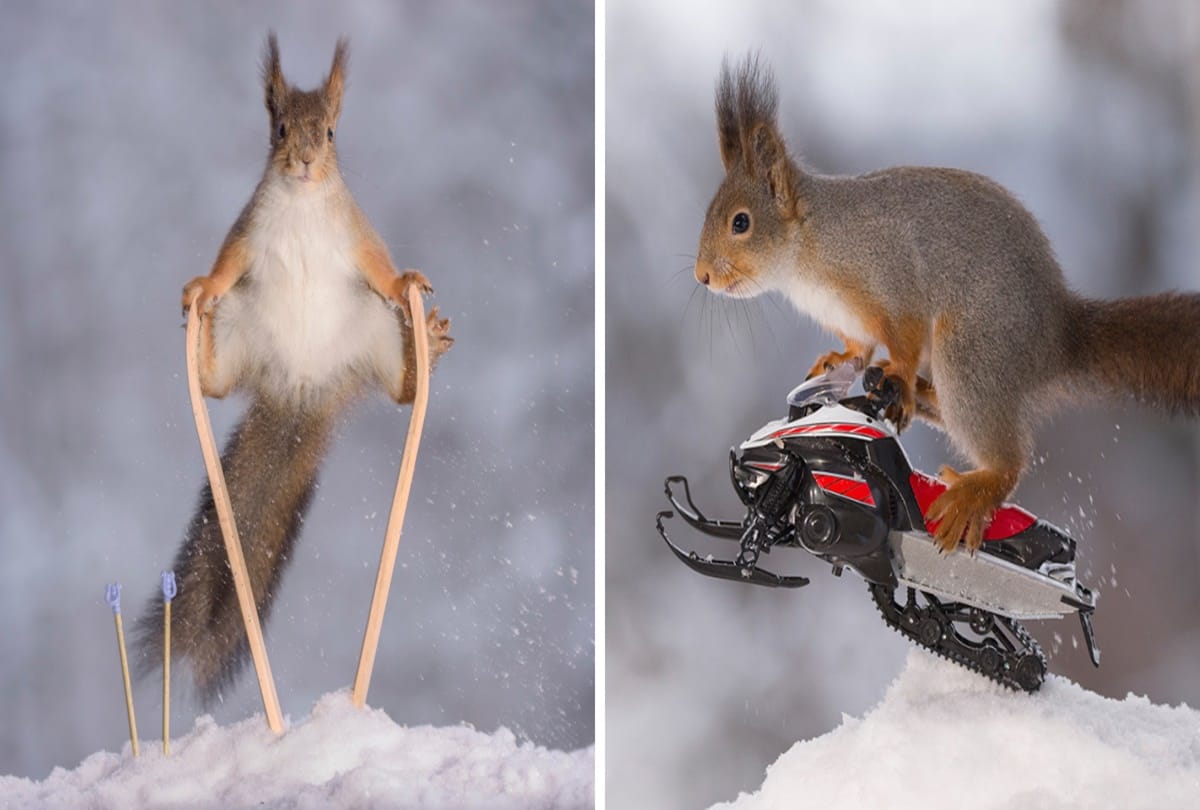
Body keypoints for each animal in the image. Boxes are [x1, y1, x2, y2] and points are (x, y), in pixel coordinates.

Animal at [135, 33, 453, 702]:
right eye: (280, 129)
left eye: (330, 133)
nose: (305, 162)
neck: (305, 203)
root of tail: (303, 390)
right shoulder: (246, 233)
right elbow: (224, 264)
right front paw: (198, 285)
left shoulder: (357, 234)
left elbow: (382, 267)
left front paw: (409, 280)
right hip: (240, 328)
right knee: (215, 385)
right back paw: (199, 346)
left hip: (376, 332)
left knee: (401, 391)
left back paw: (426, 352)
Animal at [695, 55, 1200, 555]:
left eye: (741, 222)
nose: (702, 275)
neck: (807, 251)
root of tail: (1056, 338)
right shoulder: (851, 320)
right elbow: (859, 348)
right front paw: (838, 361)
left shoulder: (891, 279)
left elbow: (903, 334)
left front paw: (896, 373)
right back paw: (921, 398)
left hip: (972, 350)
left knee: (1007, 457)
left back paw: (970, 481)